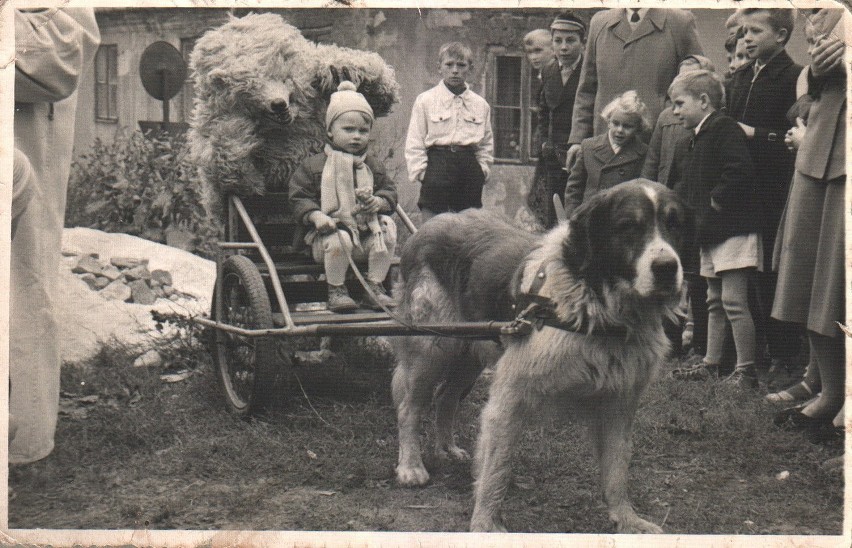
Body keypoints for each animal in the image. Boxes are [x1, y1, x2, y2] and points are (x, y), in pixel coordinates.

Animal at [392, 179, 692, 532]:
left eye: (674, 224)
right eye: (629, 226)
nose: (667, 268)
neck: (595, 305)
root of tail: (427, 226)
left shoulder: (619, 402)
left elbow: (617, 467)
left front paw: (627, 519)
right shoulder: (510, 396)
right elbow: (497, 468)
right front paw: (484, 525)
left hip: (469, 354)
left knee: (446, 397)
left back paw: (447, 448)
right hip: (432, 349)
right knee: (410, 407)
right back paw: (410, 466)